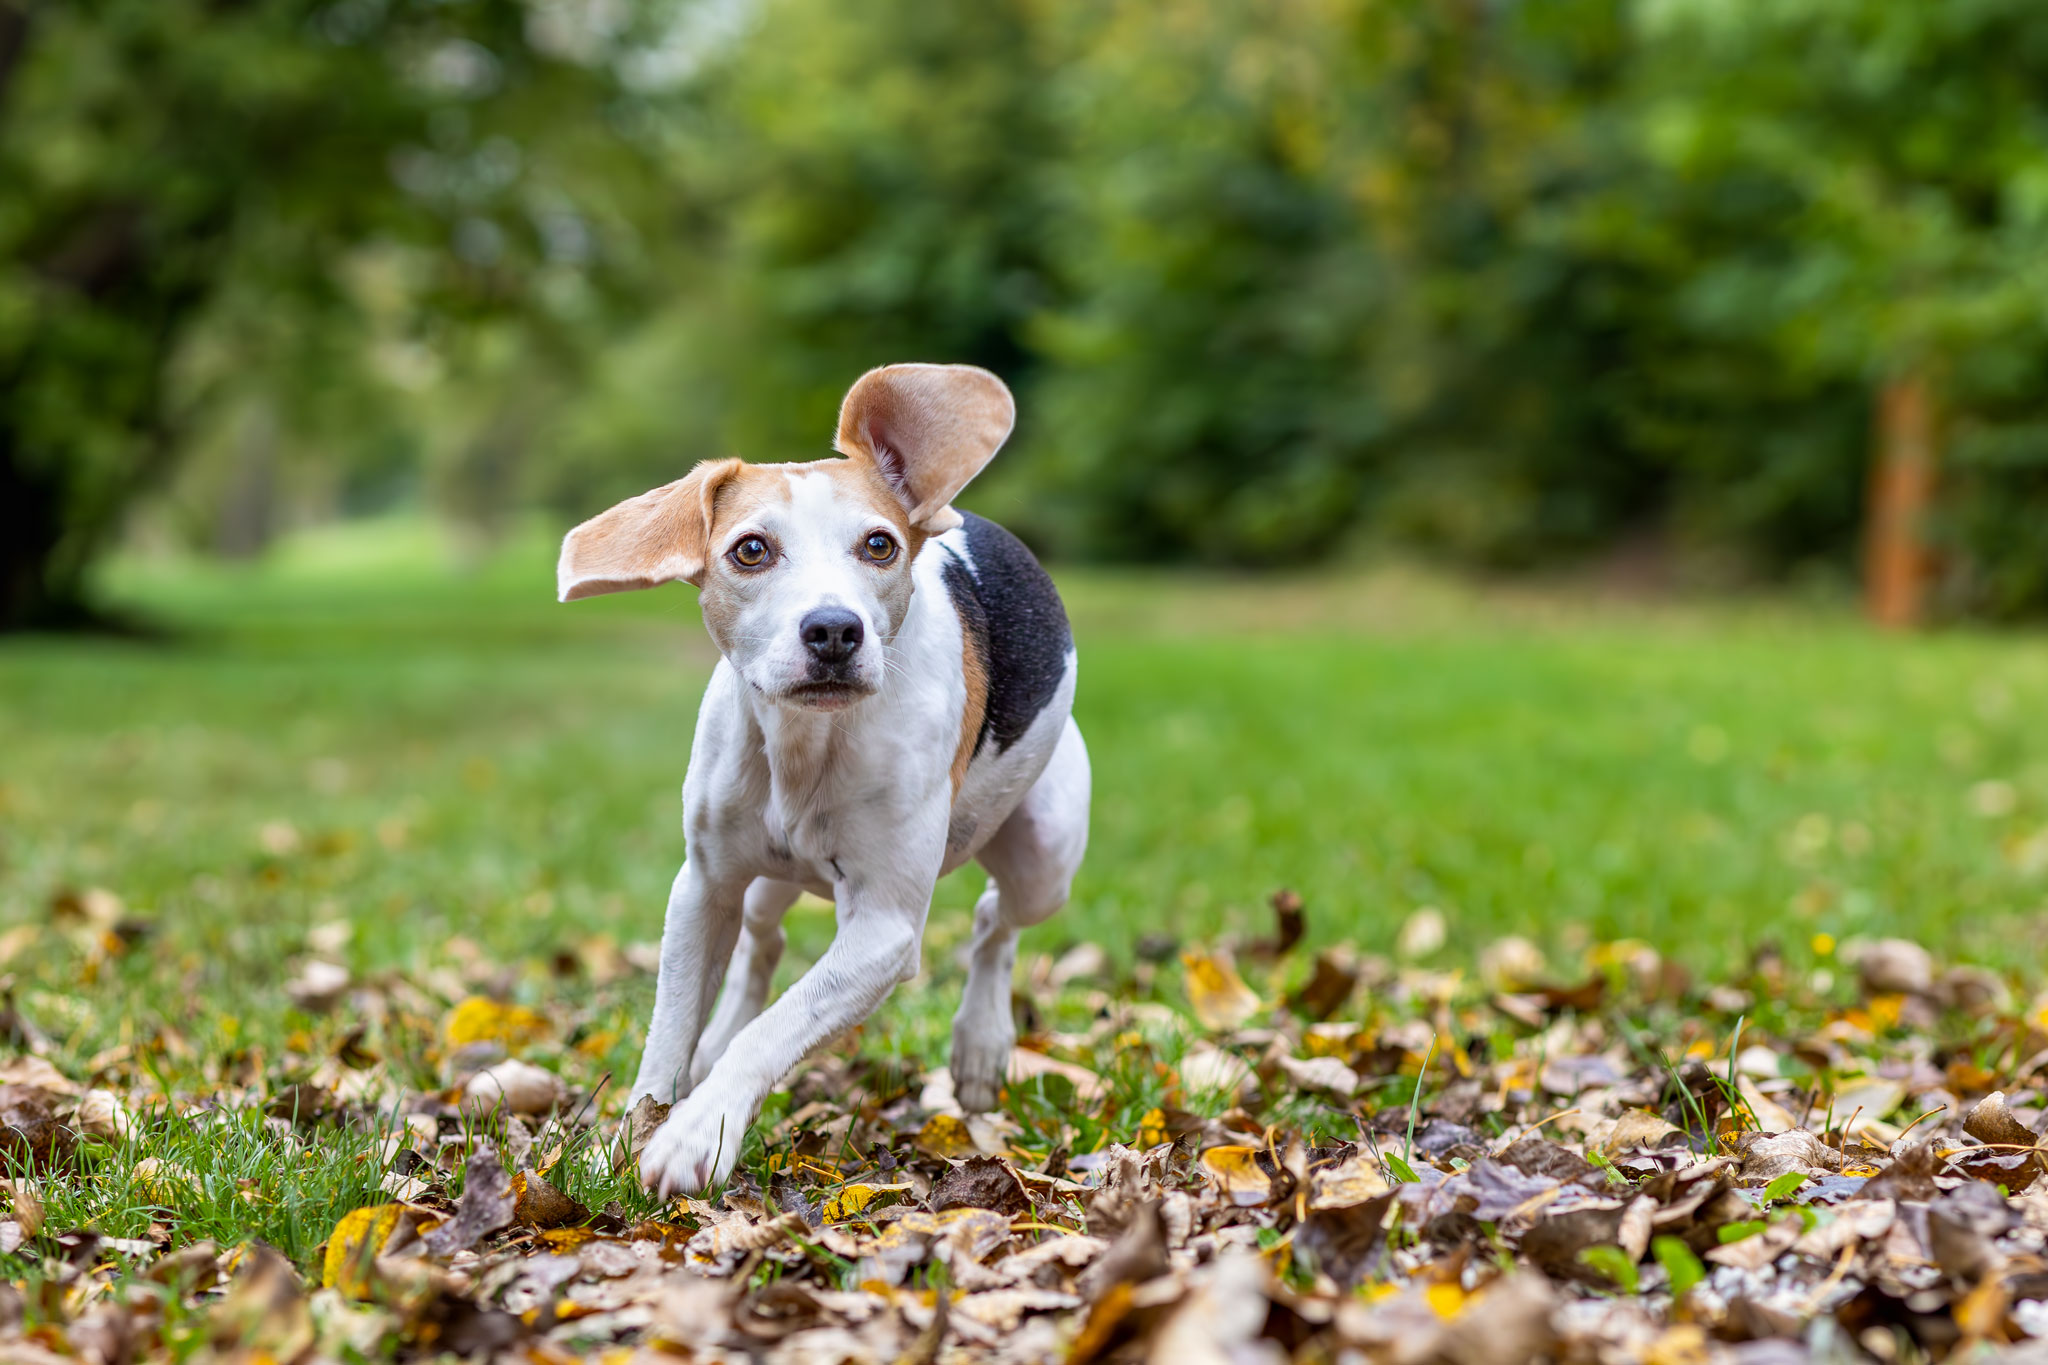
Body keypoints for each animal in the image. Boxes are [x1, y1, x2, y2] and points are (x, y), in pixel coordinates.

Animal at [552, 362, 1081, 1195]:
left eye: (879, 544)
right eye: (751, 550)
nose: (833, 629)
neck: (807, 743)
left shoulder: (884, 929)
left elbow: (776, 1028)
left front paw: (696, 1131)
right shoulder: (700, 888)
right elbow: (669, 1033)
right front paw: (629, 1138)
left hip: (1044, 854)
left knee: (996, 921)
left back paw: (980, 1041)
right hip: (762, 877)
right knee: (760, 942)